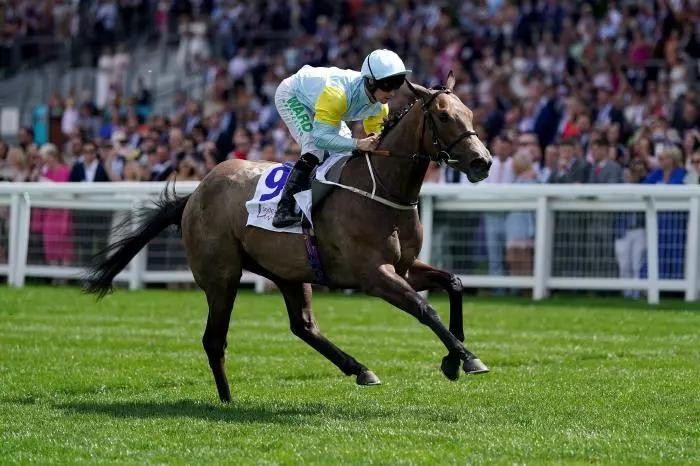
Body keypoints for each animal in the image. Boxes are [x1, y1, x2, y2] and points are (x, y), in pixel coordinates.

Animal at [86, 72, 492, 400]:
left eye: (471, 113)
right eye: (444, 116)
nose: (482, 162)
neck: (381, 190)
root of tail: (196, 193)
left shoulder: (404, 267)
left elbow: (454, 283)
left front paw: (454, 358)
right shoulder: (374, 275)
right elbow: (425, 308)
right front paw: (468, 358)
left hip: (287, 272)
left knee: (303, 326)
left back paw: (359, 369)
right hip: (222, 277)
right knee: (214, 339)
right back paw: (227, 400)